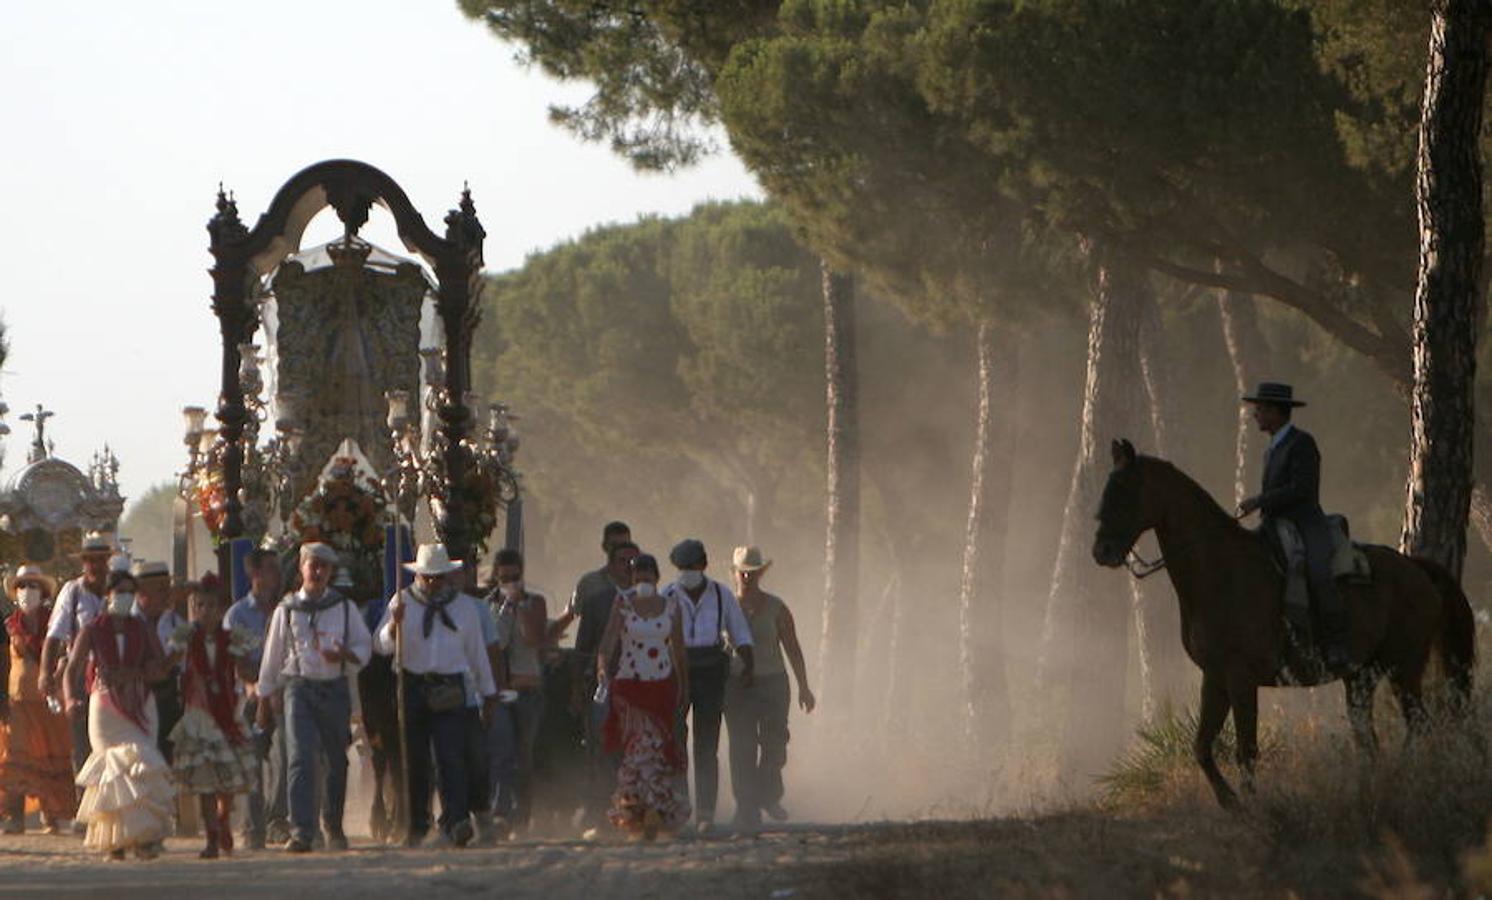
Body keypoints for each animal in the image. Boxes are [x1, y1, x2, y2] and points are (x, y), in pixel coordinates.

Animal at [1092, 438, 1474, 805]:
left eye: (1123, 490)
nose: (1101, 551)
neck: (1220, 571)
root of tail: (1416, 569)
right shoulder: (1214, 676)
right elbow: (1201, 746)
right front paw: (1230, 801)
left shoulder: (1241, 678)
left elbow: (1246, 749)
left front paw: (1252, 803)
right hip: (1361, 676)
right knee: (1369, 737)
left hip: (1403, 667)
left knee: (1419, 725)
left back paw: (1405, 776)